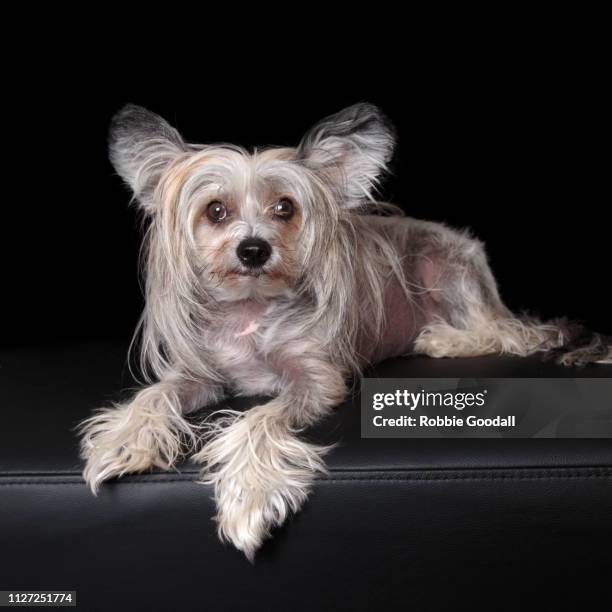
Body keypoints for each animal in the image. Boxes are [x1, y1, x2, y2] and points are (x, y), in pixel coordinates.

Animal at [80, 104, 612, 560]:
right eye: (216, 211)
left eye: (285, 208)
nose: (253, 250)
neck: (252, 310)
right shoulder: (201, 375)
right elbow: (154, 394)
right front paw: (122, 440)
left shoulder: (315, 380)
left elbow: (259, 418)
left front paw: (249, 496)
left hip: (444, 265)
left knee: (502, 334)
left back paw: (443, 338)